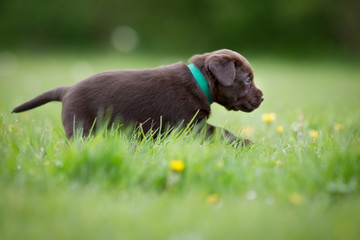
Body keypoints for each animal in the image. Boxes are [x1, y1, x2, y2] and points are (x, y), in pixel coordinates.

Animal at [12, 49, 262, 144]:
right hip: (82, 128)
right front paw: (246, 143)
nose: (262, 98)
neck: (199, 81)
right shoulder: (191, 125)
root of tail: (67, 89)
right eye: (247, 80)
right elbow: (221, 131)